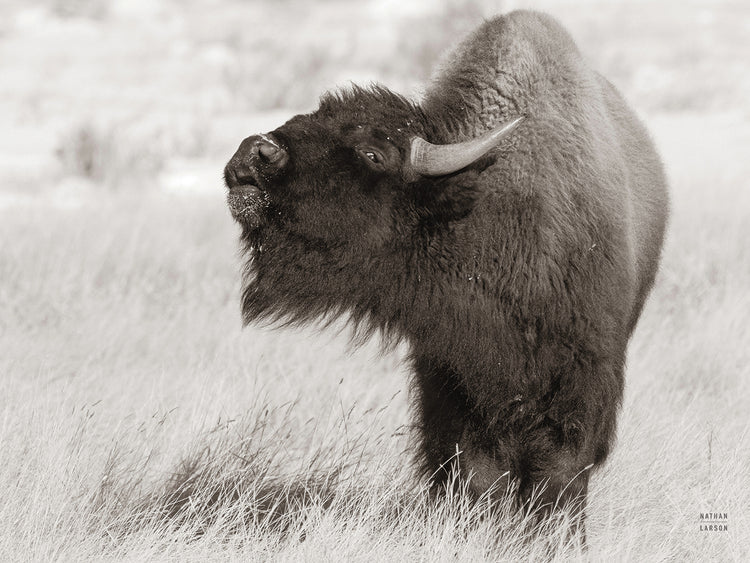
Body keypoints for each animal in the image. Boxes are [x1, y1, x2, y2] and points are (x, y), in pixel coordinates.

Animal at [224, 10, 668, 529]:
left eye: (373, 153)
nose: (255, 153)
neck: (479, 207)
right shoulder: (446, 377)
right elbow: (476, 473)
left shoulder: (581, 382)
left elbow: (558, 474)